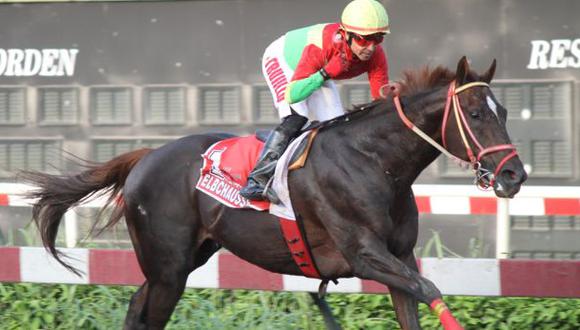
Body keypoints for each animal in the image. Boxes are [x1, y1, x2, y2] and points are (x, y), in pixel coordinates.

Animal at [22, 57, 524, 330]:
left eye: (503, 110)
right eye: (477, 113)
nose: (515, 175)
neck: (375, 161)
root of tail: (147, 155)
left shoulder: (399, 256)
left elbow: (415, 300)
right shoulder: (365, 254)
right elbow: (429, 288)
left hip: (181, 261)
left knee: (136, 308)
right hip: (168, 269)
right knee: (150, 314)